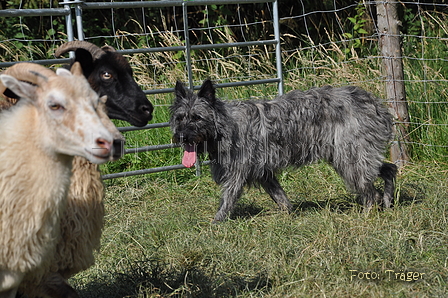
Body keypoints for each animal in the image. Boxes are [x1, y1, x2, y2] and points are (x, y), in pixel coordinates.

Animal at [170, 79, 398, 221]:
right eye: (180, 118)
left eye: (197, 118)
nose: (181, 136)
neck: (224, 125)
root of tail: (375, 104)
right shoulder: (263, 173)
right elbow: (279, 196)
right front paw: (288, 213)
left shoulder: (237, 173)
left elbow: (228, 198)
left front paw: (216, 223)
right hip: (355, 155)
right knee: (389, 169)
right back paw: (388, 200)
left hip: (350, 158)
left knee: (371, 191)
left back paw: (368, 213)